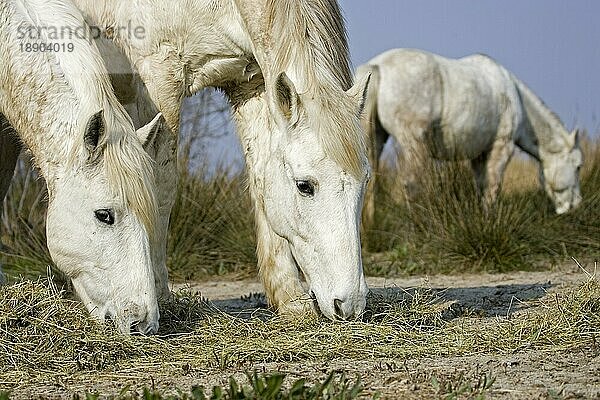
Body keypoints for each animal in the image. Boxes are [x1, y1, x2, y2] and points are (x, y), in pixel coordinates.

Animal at [72, 0, 372, 318]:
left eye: (365, 181)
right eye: (304, 186)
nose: (350, 304)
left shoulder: (250, 84)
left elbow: (261, 176)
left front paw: (291, 299)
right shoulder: (158, 78)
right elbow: (160, 188)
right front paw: (160, 296)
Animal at [356, 48, 580, 225]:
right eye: (578, 166)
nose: (576, 205)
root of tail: (377, 66)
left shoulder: (479, 155)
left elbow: (481, 186)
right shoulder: (501, 147)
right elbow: (492, 187)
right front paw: (489, 222)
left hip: (376, 139)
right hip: (414, 143)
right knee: (411, 184)